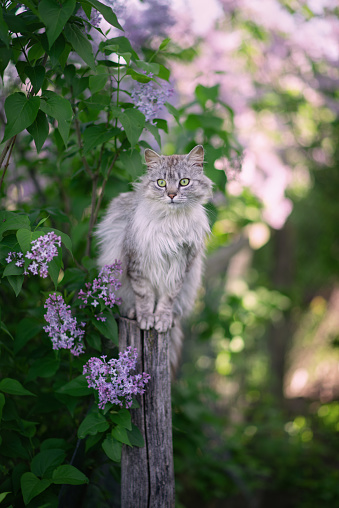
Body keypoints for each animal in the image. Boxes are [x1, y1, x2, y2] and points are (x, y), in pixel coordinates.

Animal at [96, 145, 212, 372]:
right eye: (161, 183)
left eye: (184, 182)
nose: (172, 194)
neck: (172, 224)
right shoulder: (137, 263)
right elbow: (145, 296)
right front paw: (146, 318)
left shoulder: (181, 267)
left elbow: (167, 300)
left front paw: (162, 320)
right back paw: (132, 313)